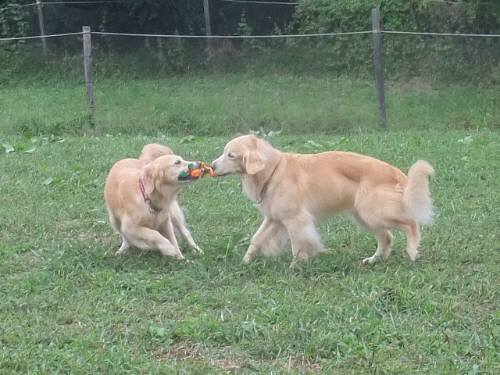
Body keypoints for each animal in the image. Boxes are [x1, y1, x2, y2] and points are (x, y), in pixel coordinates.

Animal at [211, 135, 434, 268]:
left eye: (230, 155)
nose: (211, 166)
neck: (273, 170)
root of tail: (396, 172)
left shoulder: (296, 219)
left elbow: (298, 245)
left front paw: (295, 266)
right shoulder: (274, 218)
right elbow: (256, 239)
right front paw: (245, 261)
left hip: (374, 212)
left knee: (411, 224)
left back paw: (412, 250)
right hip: (365, 217)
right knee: (386, 237)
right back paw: (374, 259)